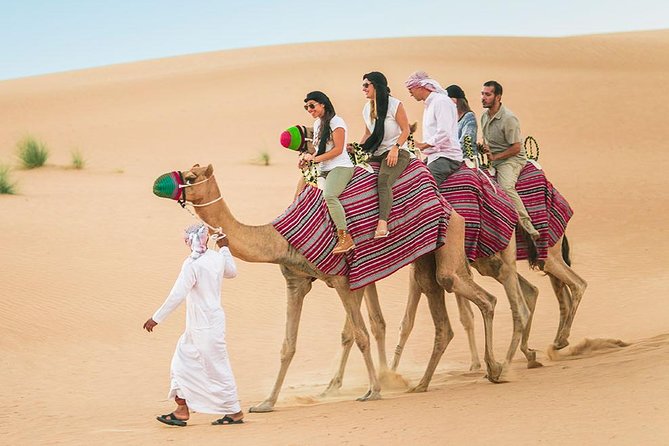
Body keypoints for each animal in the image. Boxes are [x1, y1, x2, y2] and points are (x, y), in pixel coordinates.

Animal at [153, 163, 504, 412]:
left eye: (190, 175)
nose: (159, 183)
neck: (279, 237)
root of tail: (444, 199)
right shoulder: (295, 281)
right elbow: (288, 345)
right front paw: (266, 403)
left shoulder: (342, 280)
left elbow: (359, 334)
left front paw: (374, 391)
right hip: (425, 259)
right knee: (444, 315)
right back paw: (425, 384)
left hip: (450, 239)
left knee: (478, 295)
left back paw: (494, 368)